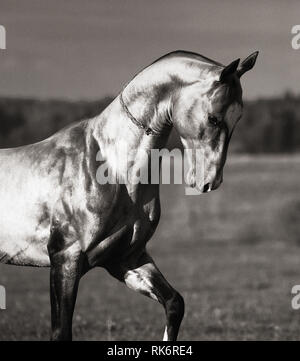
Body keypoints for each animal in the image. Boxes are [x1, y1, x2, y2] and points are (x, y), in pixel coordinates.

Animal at [0, 49, 258, 338]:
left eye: (238, 118)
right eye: (213, 117)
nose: (209, 181)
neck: (110, 165)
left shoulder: (126, 259)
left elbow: (174, 303)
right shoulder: (65, 259)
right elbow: (61, 331)